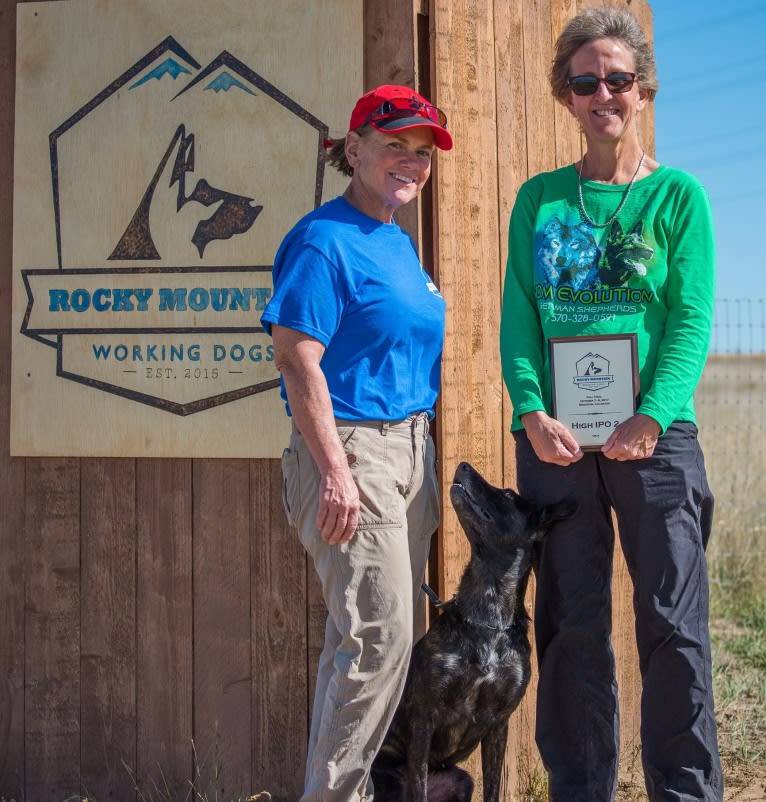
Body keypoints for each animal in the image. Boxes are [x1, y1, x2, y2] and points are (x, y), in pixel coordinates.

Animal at [370, 460, 576, 800]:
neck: (488, 619)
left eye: (508, 495)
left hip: (462, 781)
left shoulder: (499, 723)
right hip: (390, 780)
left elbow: (492, 788)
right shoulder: (424, 717)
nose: (463, 464)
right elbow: (418, 784)